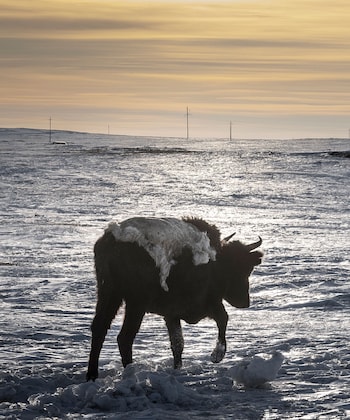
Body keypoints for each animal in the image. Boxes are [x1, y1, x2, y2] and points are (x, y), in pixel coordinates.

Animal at [87, 217, 262, 380]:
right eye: (243, 268)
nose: (245, 302)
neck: (216, 263)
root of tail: (112, 241)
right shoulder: (207, 304)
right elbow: (223, 318)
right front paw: (216, 356)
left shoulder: (172, 315)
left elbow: (178, 343)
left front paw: (177, 368)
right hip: (135, 303)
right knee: (124, 337)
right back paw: (130, 372)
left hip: (109, 294)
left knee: (99, 329)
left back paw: (92, 375)